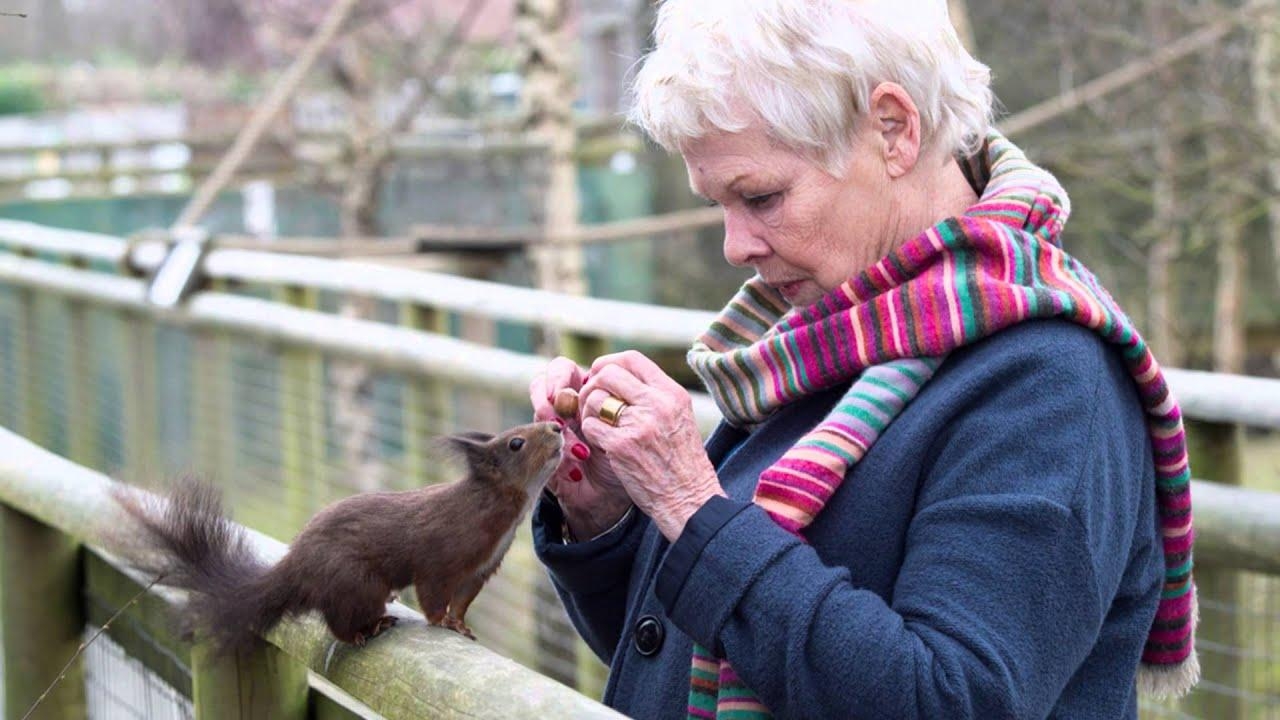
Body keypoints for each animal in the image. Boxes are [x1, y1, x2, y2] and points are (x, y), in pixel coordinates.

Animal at [112, 420, 563, 650]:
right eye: (517, 442)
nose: (558, 427)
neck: (495, 505)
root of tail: (296, 569)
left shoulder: (480, 569)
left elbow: (463, 602)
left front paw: (461, 625)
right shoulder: (442, 556)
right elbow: (433, 595)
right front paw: (442, 624)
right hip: (356, 583)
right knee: (339, 626)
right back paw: (370, 628)